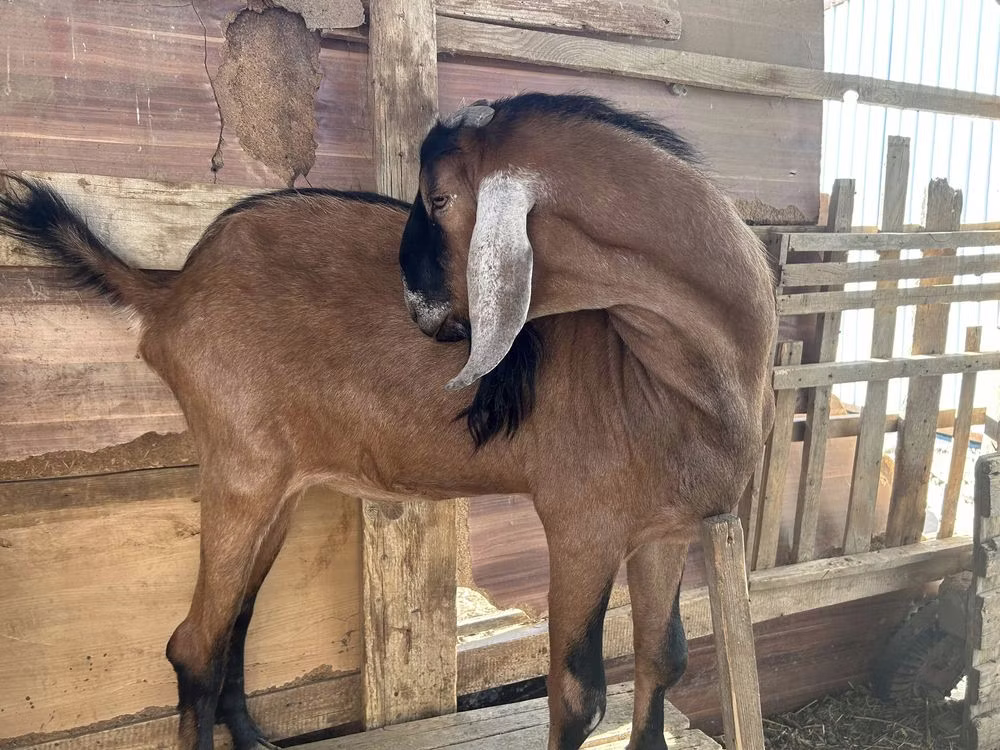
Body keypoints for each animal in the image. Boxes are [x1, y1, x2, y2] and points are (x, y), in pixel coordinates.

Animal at [0, 92, 777, 750]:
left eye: (438, 197)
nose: (416, 307)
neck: (660, 374)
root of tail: (172, 287)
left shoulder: (666, 529)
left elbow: (663, 658)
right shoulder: (581, 526)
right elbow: (578, 694)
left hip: (280, 484)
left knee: (235, 623)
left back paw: (254, 741)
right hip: (240, 469)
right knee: (193, 645)